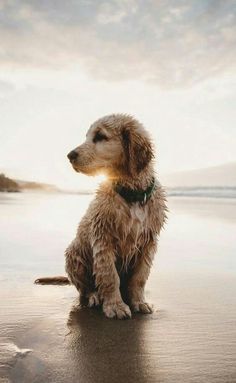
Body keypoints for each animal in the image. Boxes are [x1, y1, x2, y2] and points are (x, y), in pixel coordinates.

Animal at [35, 115, 168, 320]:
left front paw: (139, 302)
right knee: (84, 289)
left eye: (100, 137)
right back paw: (94, 296)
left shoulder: (148, 243)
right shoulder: (103, 239)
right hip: (74, 254)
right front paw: (115, 305)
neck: (132, 196)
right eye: (88, 136)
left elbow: (139, 277)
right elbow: (109, 276)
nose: (70, 155)